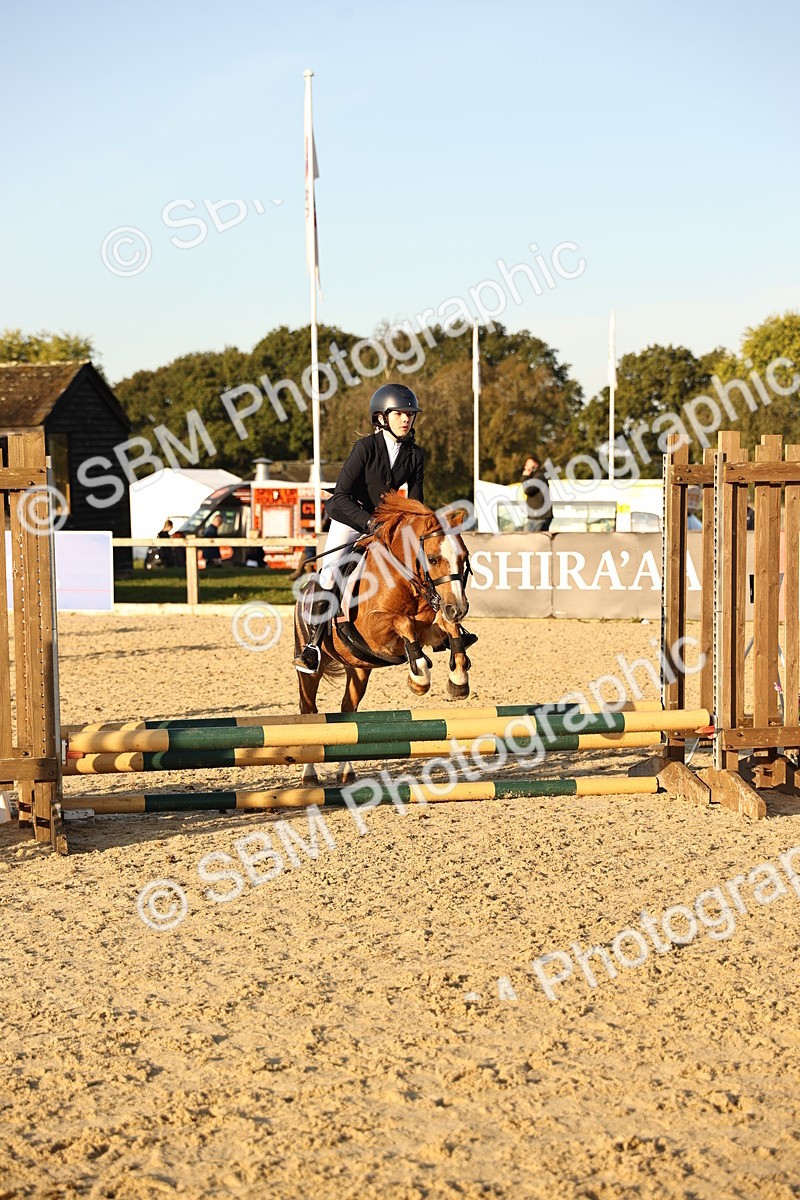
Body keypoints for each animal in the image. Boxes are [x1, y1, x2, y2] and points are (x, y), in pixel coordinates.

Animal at [293, 492, 473, 785]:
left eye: (464, 557)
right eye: (433, 559)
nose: (458, 608)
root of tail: (305, 589)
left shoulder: (427, 629)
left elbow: (446, 627)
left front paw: (458, 679)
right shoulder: (375, 631)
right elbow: (402, 623)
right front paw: (419, 678)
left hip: (358, 668)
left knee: (348, 711)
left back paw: (346, 772)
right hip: (310, 668)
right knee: (308, 711)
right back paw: (309, 776)